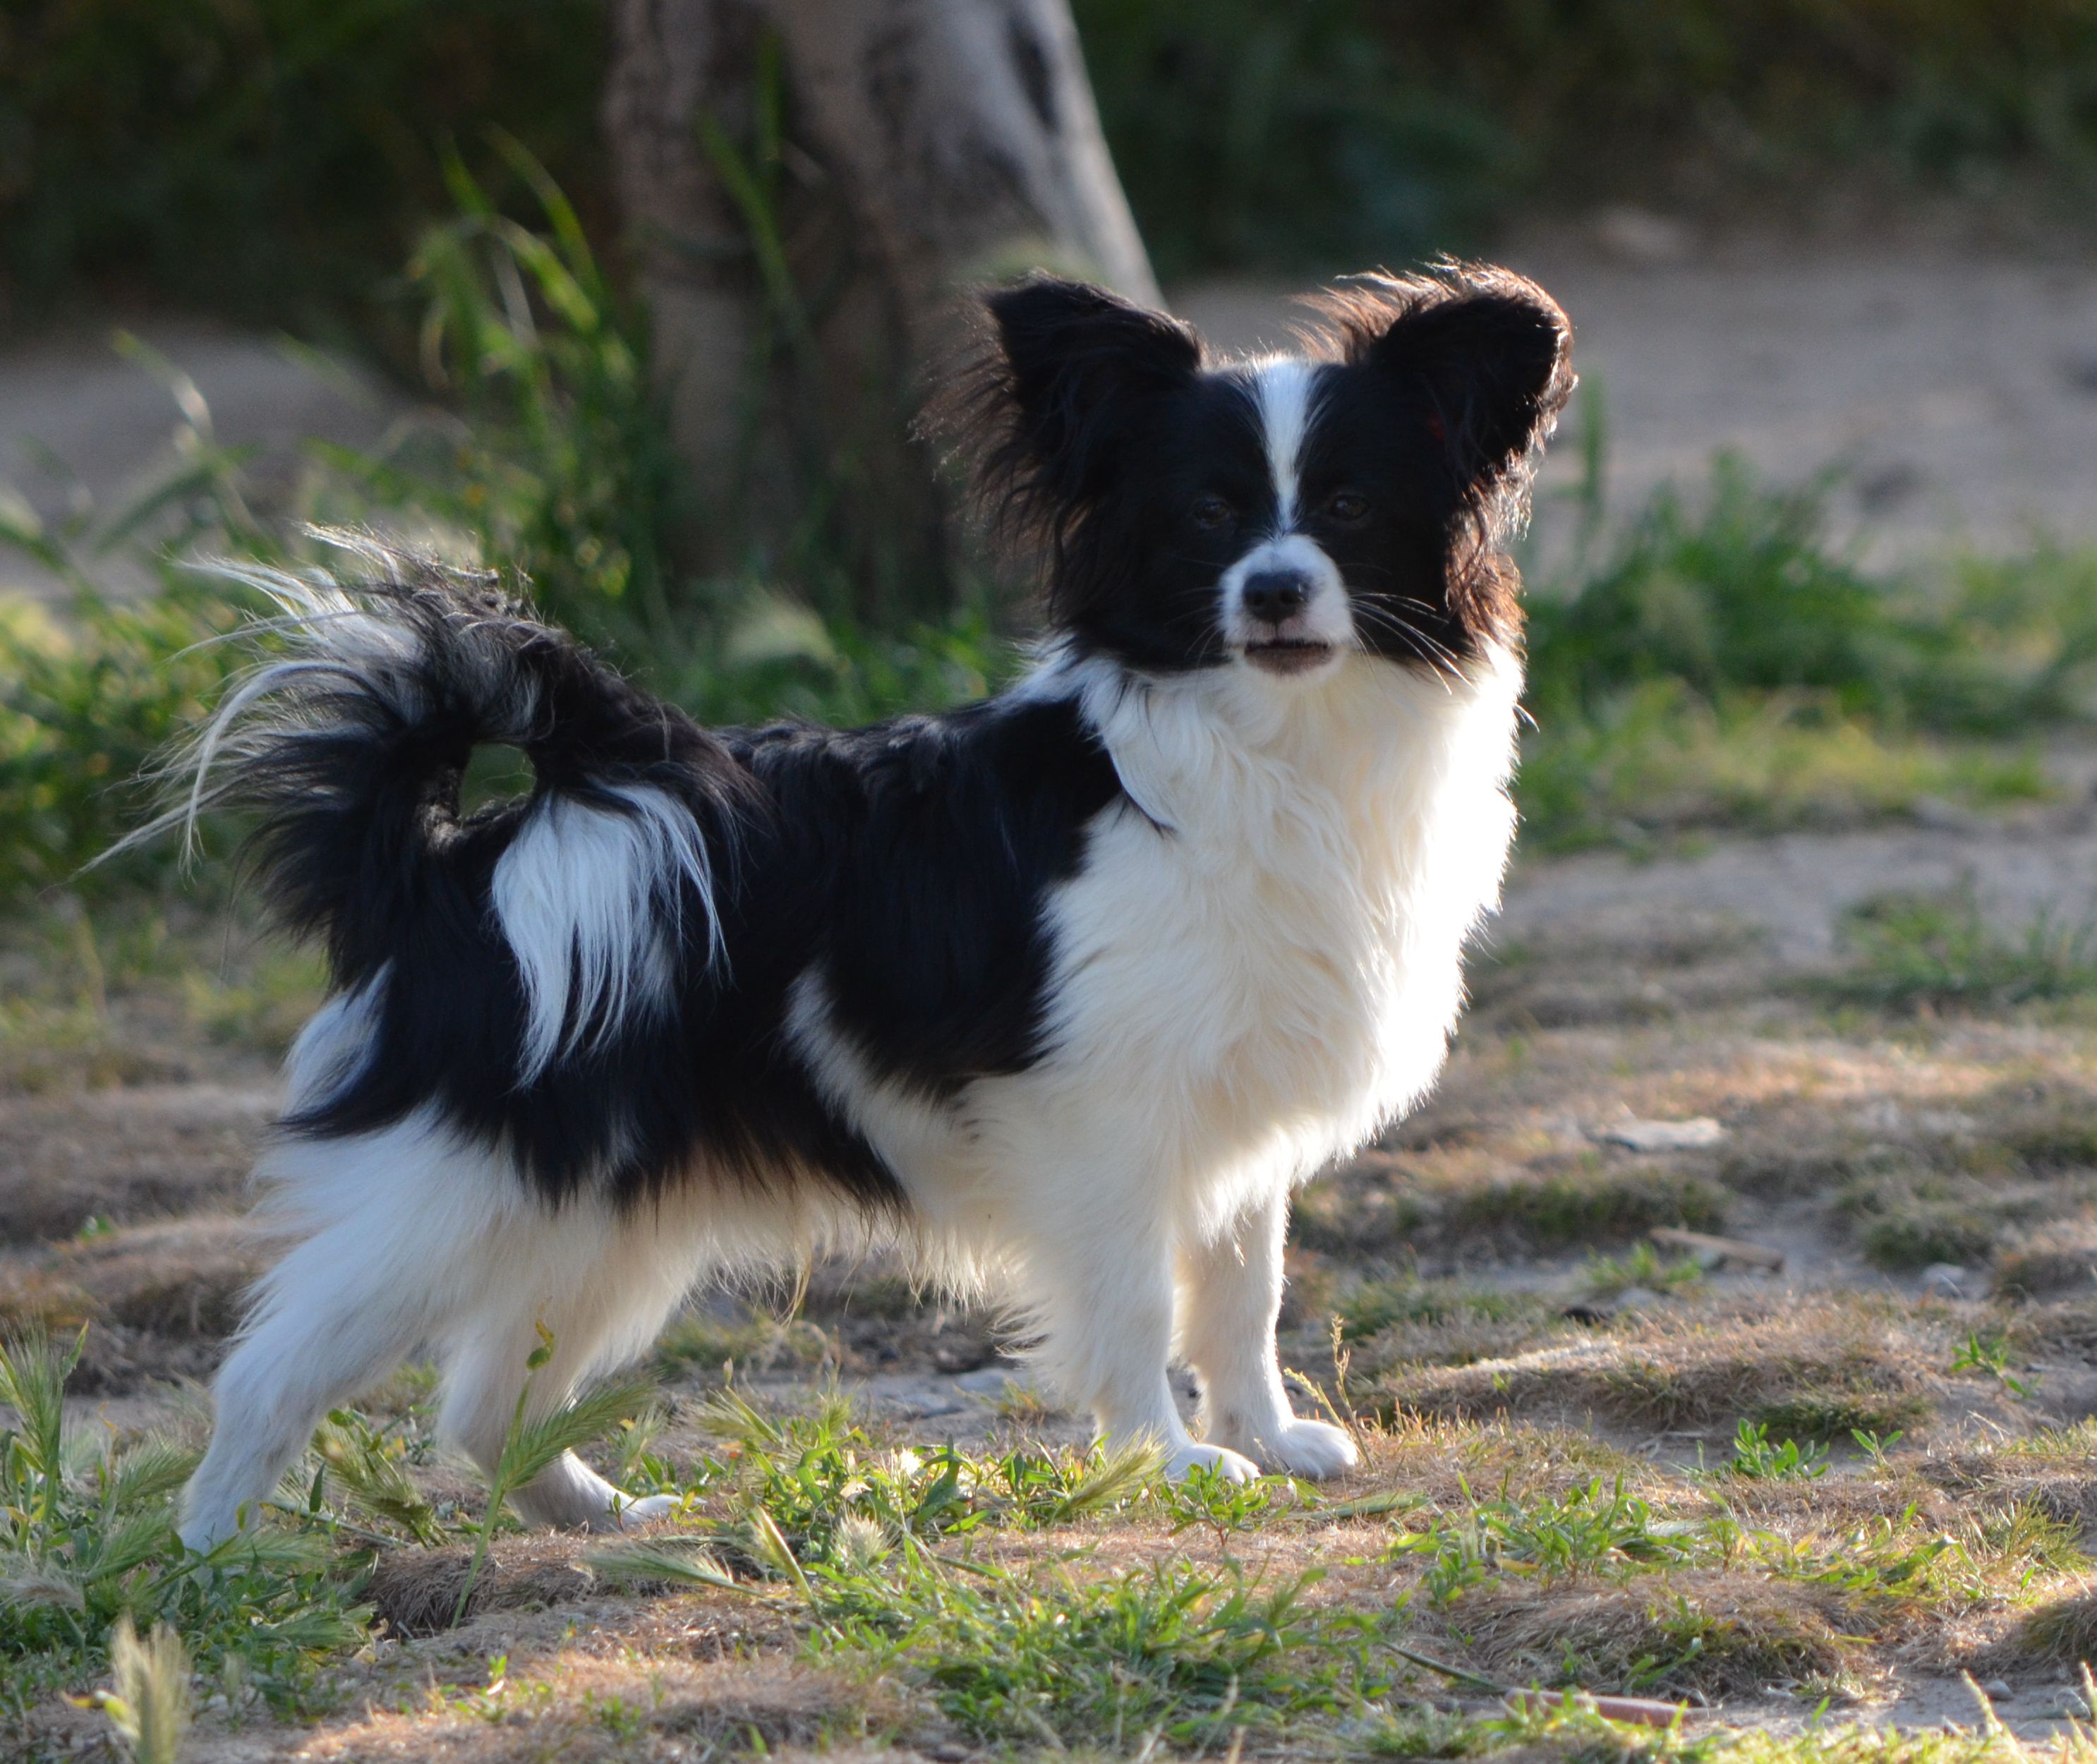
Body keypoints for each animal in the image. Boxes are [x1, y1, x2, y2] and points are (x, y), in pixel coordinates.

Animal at [159, 261, 1576, 1543]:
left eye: (1346, 506)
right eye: (1207, 520)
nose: (1274, 589)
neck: (1268, 750)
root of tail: (462, 858)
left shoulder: (1229, 1126)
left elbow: (1240, 1297)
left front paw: (1269, 1441)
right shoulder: (1098, 1123)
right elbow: (1134, 1308)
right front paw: (1169, 1465)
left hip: (600, 1212)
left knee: (488, 1403)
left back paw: (605, 1515)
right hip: (452, 1194)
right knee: (269, 1374)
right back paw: (212, 1560)